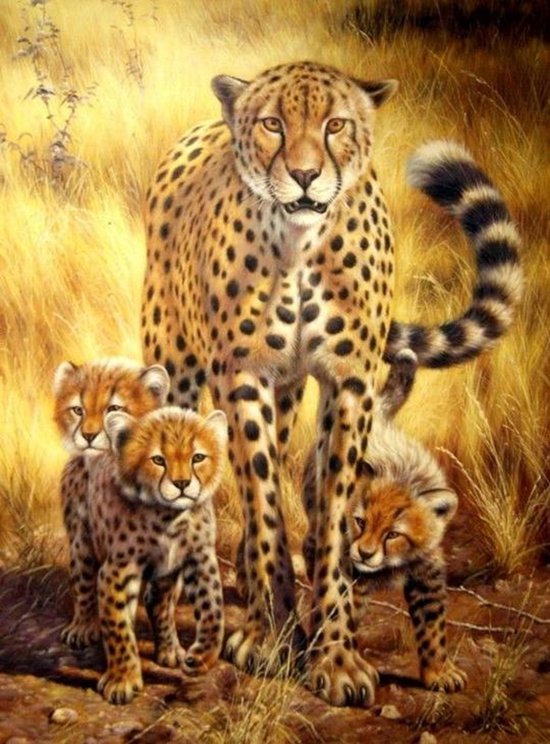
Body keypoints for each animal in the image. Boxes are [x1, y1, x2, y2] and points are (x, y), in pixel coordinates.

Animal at [54, 357, 170, 649]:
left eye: (114, 408)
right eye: (78, 410)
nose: (88, 435)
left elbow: (164, 601)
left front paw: (171, 647)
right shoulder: (81, 534)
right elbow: (84, 580)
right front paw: (83, 627)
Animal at [82, 405, 227, 704]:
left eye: (198, 457)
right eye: (158, 460)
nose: (182, 483)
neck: (169, 517)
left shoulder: (199, 557)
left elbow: (213, 610)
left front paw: (202, 658)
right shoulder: (118, 569)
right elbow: (117, 626)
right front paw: (123, 679)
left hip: (168, 574)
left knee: (157, 602)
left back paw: (170, 650)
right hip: (82, 542)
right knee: (83, 584)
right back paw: (80, 628)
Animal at [303, 349, 467, 693]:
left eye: (393, 534)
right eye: (360, 522)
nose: (364, 553)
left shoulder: (427, 574)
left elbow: (433, 628)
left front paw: (438, 673)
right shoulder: (349, 575)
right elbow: (340, 615)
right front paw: (338, 665)